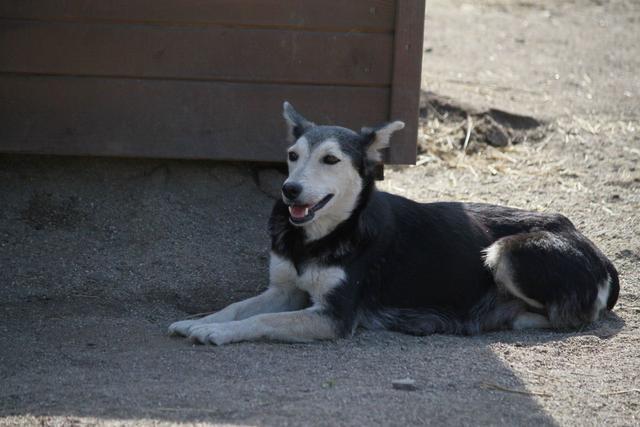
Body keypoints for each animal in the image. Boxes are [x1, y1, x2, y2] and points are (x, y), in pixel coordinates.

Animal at [168, 102, 616, 346]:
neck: (320, 237)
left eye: (330, 160)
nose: (290, 191)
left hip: (507, 251)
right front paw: (199, 321)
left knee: (576, 316)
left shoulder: (333, 316)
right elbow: (236, 307)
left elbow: (260, 321)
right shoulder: (284, 290)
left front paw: (217, 333)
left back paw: (508, 317)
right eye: (293, 156)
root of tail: (600, 255)